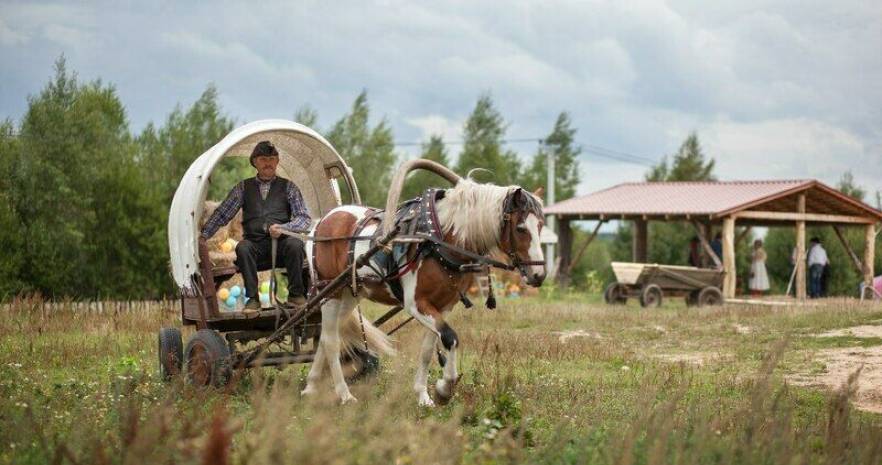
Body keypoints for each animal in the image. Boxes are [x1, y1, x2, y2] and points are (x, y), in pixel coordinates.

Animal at [300, 179, 544, 404]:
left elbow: (429, 348)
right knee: (331, 340)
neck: (439, 240)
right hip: (330, 294)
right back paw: (344, 394)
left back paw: (311, 386)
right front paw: (445, 388)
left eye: (541, 226)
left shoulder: (443, 306)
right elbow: (450, 338)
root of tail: (324, 220)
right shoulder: (417, 304)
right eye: (521, 228)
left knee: (328, 336)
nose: (539, 275)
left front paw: (424, 395)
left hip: (349, 293)